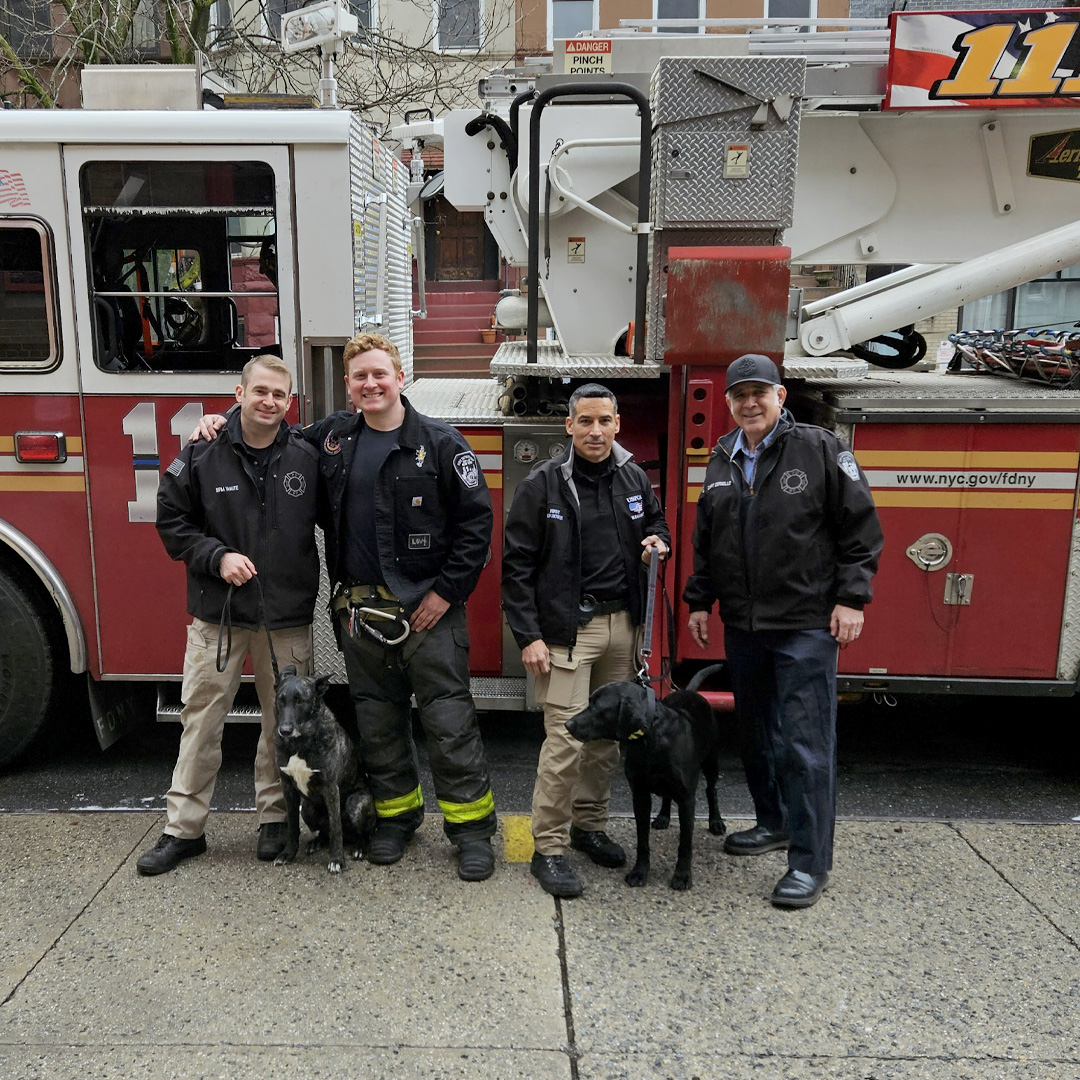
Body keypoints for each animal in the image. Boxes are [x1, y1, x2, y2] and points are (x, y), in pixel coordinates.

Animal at [274, 660, 375, 872]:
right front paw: (288, 854)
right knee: (324, 831)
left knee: (362, 833)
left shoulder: (330, 788)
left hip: (355, 804)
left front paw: (336, 860)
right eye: (281, 700)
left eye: (300, 700)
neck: (299, 742)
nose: (284, 730)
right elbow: (292, 827)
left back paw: (360, 848)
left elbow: (336, 828)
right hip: (308, 809)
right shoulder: (288, 788)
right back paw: (316, 842)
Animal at [565, 669, 725, 889]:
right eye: (589, 701)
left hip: (711, 760)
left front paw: (682, 876)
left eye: (597, 707)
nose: (567, 724)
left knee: (711, 790)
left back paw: (716, 821)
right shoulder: (640, 795)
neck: (650, 737)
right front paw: (639, 872)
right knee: (667, 796)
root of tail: (690, 691)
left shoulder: (687, 799)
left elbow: (685, 843)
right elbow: (642, 841)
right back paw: (663, 817)